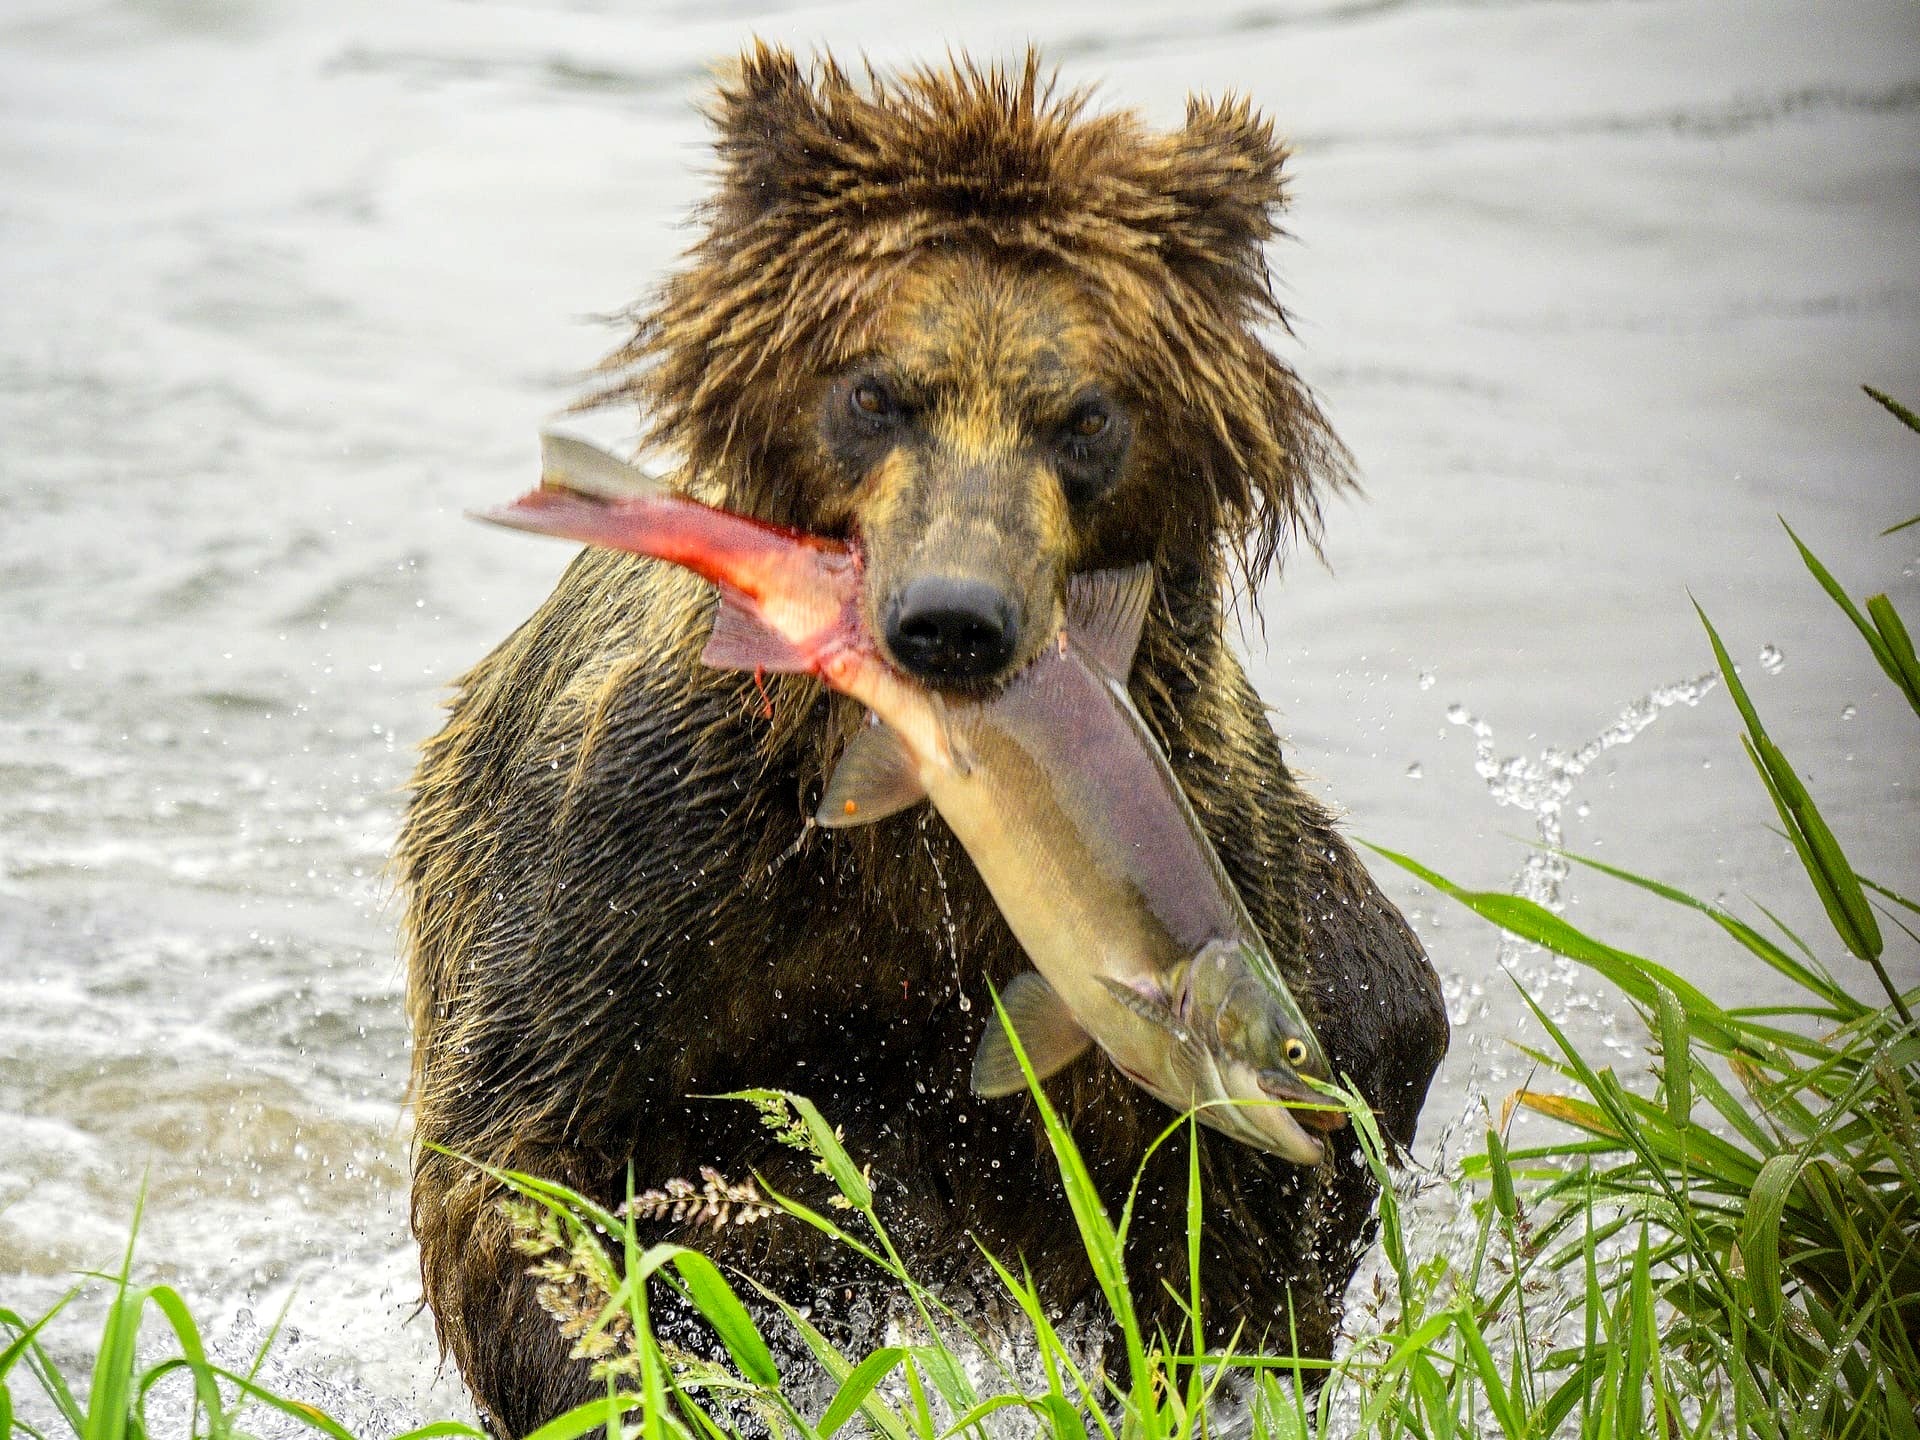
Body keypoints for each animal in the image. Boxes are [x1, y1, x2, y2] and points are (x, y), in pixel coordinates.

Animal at [397, 48, 1443, 1440]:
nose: (954, 617)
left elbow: (1235, 1251)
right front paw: (652, 1382)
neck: (935, 829)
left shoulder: (1220, 872)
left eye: (1086, 417)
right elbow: (535, 1164)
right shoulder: (652, 860)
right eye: (873, 392)